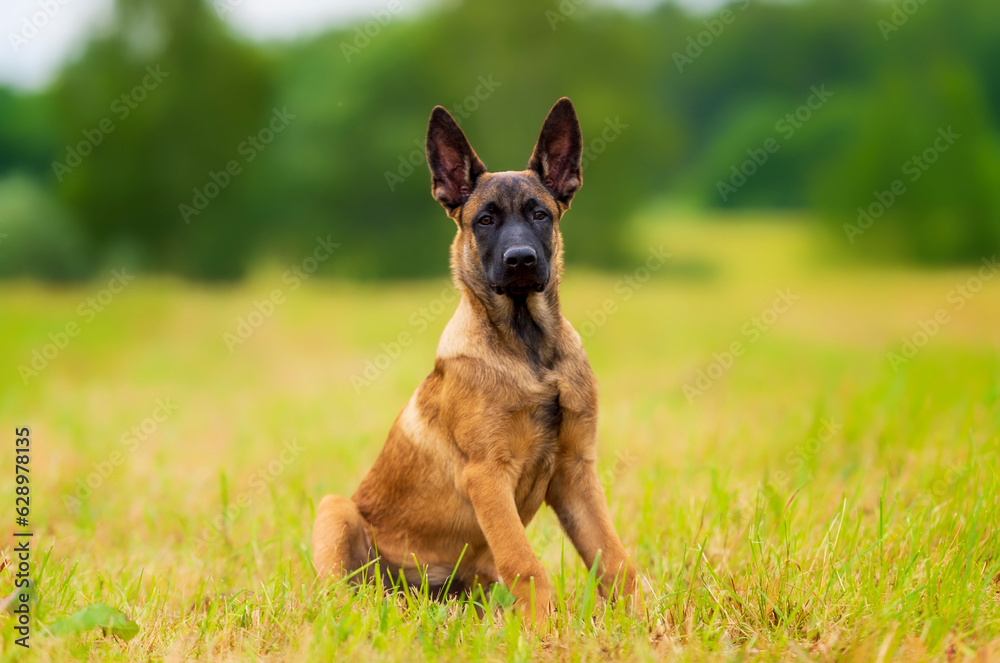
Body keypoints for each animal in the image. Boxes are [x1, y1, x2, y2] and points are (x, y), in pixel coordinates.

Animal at [312, 97, 640, 624]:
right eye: (484, 221)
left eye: (540, 215)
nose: (521, 260)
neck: (529, 349)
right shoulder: (487, 475)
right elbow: (525, 562)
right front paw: (546, 630)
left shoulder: (575, 473)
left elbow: (614, 559)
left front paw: (645, 622)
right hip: (335, 509)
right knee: (341, 593)